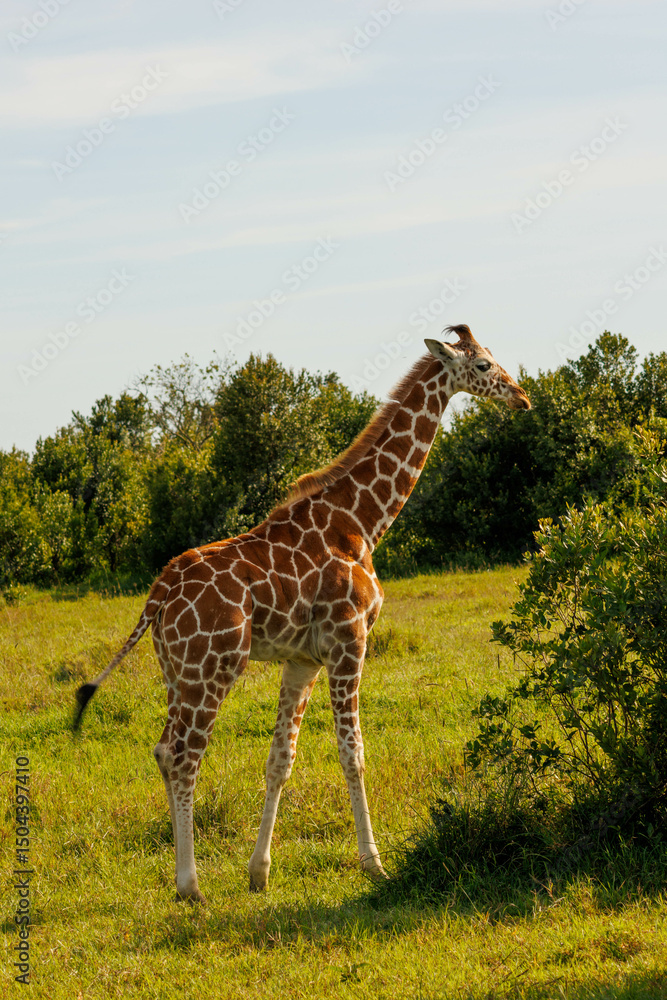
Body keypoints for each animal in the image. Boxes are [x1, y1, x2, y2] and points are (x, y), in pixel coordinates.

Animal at [74, 324, 530, 903]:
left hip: (176, 673)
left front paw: (259, 871)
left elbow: (279, 762)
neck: (361, 521)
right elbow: (353, 753)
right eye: (485, 366)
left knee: (161, 750)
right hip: (213, 669)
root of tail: (157, 595)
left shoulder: (302, 660)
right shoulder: (349, 640)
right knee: (182, 756)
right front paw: (374, 864)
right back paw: (189, 885)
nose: (522, 398)